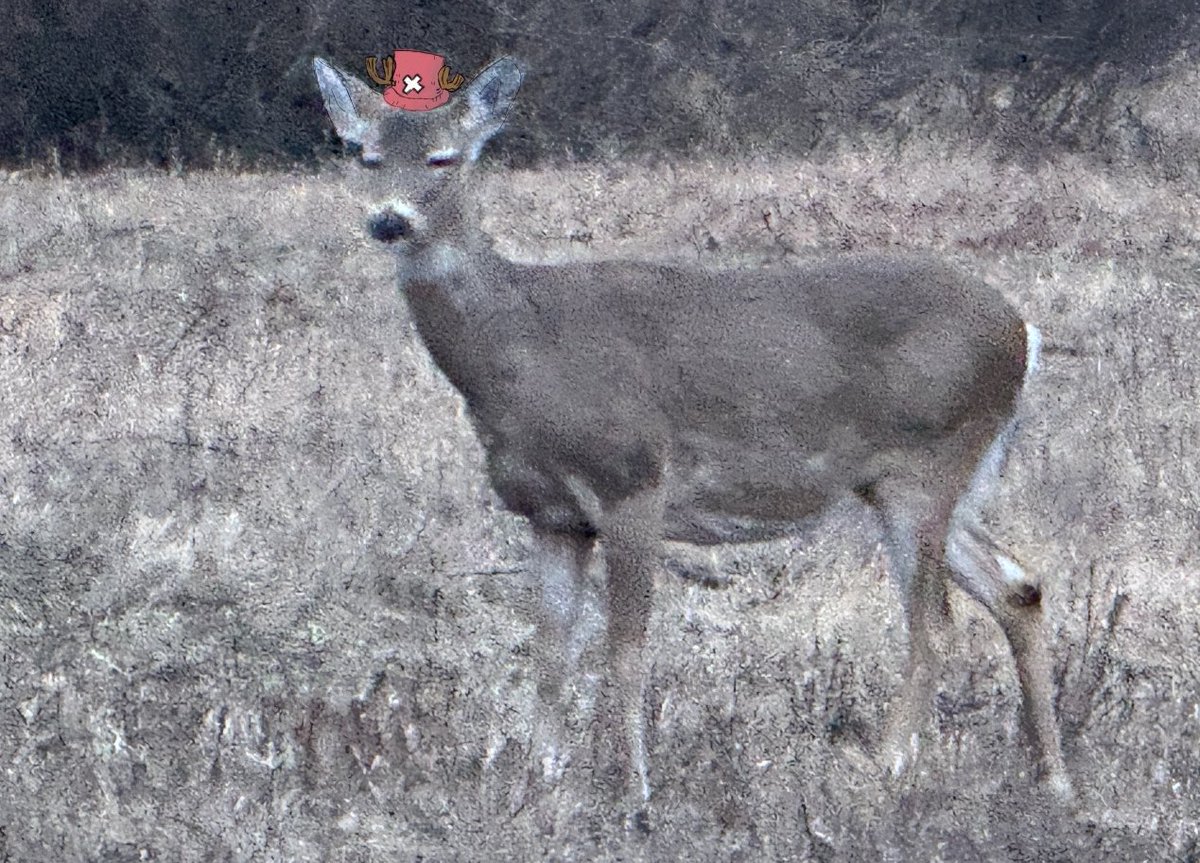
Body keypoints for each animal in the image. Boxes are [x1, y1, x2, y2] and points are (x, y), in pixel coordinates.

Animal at [312, 54, 1073, 817]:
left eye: (444, 157)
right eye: (363, 154)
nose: (388, 219)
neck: (524, 350)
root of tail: (1024, 331)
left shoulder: (632, 480)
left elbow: (626, 646)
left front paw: (635, 795)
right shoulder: (551, 513)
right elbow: (551, 649)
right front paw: (536, 783)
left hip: (924, 464)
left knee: (934, 624)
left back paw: (884, 769)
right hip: (936, 480)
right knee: (1019, 586)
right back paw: (1051, 776)